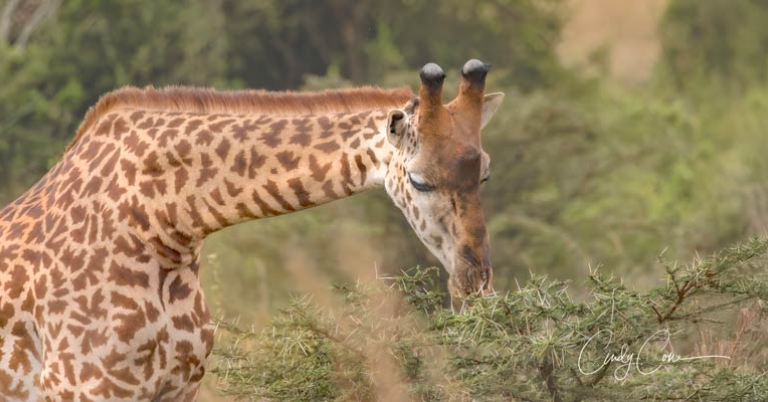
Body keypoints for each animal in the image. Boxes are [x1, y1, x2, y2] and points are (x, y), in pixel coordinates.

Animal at [0, 59, 503, 401]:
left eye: (485, 174)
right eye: (418, 180)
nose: (473, 282)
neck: (161, 223)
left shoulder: (178, 385)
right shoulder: (83, 384)